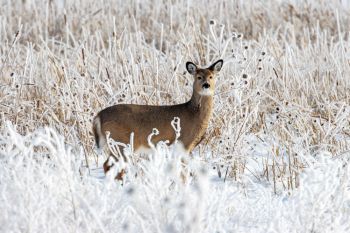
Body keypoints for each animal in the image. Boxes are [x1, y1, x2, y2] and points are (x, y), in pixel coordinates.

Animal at [92, 59, 224, 179]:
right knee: (111, 165)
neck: (193, 113)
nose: (206, 85)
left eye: (211, 76)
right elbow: (183, 171)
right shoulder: (183, 142)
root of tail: (99, 116)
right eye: (199, 77)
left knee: (108, 165)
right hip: (120, 142)